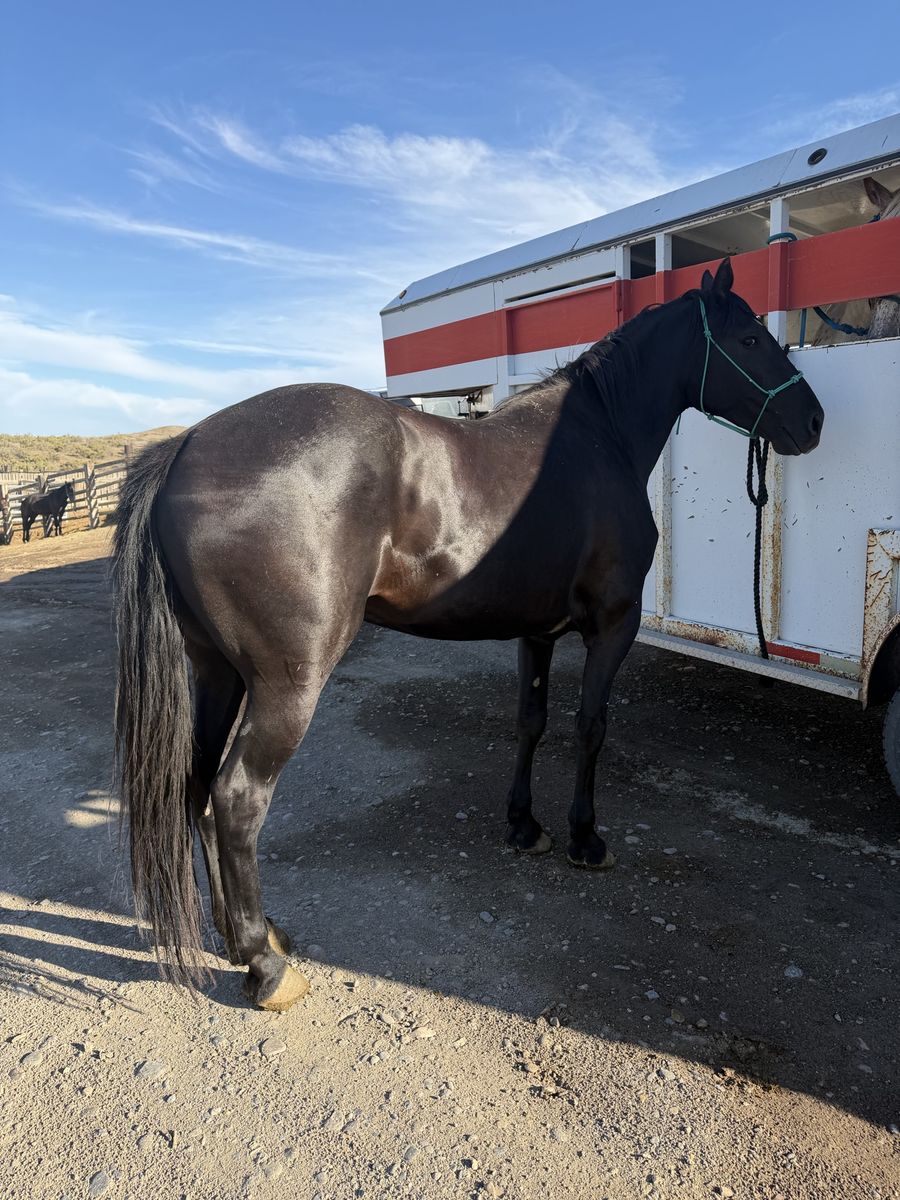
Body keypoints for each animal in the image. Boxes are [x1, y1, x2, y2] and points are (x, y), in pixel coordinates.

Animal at [113, 259, 824, 1012]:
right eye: (750, 338)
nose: (813, 419)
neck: (597, 436)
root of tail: (184, 447)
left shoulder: (538, 633)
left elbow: (531, 721)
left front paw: (524, 825)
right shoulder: (611, 625)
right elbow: (590, 725)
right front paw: (584, 837)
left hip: (218, 672)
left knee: (195, 788)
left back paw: (249, 934)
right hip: (285, 685)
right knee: (237, 799)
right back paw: (263, 964)